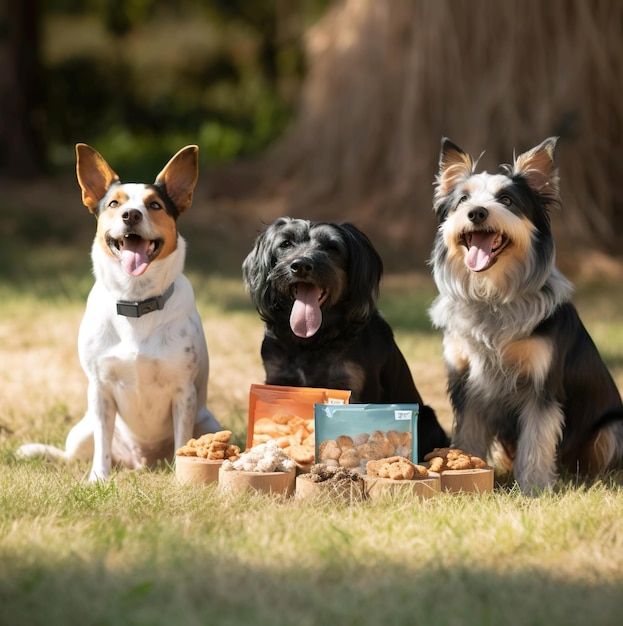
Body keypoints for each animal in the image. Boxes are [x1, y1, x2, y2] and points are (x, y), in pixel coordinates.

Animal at [17, 143, 219, 478]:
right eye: (114, 203)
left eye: (154, 205)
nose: (131, 215)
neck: (135, 302)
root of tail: (143, 462)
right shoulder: (100, 391)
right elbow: (102, 444)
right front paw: (98, 478)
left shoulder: (183, 393)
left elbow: (183, 442)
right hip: (81, 432)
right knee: (73, 455)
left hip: (207, 422)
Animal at [241, 216, 450, 458]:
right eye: (285, 244)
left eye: (332, 247)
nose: (301, 265)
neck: (314, 340)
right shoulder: (278, 379)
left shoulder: (356, 388)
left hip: (429, 420)